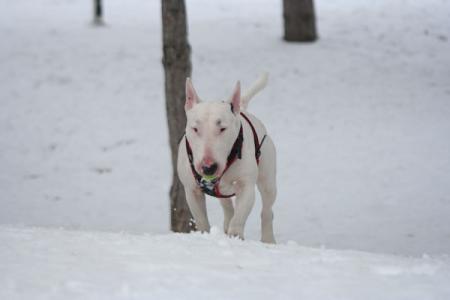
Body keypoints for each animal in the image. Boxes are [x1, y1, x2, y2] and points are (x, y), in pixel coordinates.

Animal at [177, 73, 276, 244]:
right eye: (195, 128)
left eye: (222, 128)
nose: (208, 167)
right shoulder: (191, 190)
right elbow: (201, 220)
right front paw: (205, 235)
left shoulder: (246, 186)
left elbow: (239, 218)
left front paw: (235, 237)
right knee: (226, 204)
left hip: (268, 181)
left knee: (267, 210)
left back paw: (268, 239)